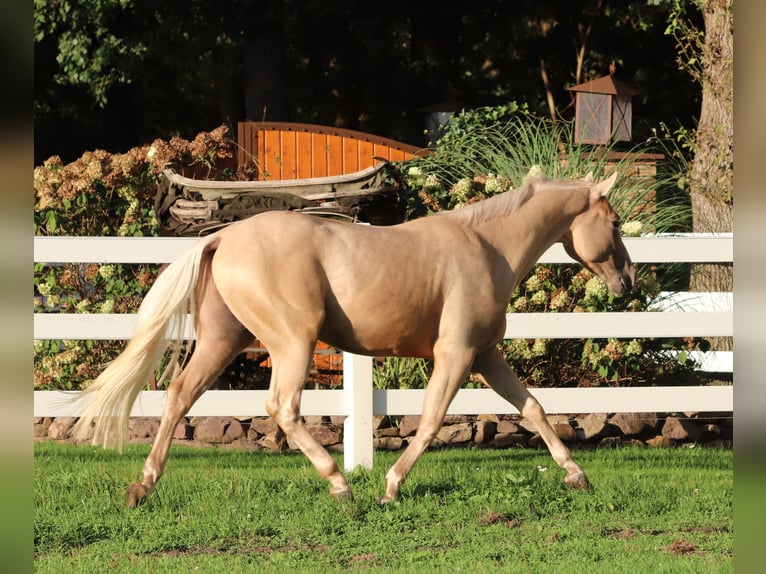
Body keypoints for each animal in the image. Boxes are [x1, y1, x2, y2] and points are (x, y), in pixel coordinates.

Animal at [72, 171, 636, 508]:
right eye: (614, 221)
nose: (628, 282)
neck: (486, 247)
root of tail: (224, 237)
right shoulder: (455, 355)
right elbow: (431, 420)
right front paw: (390, 487)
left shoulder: (485, 356)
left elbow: (534, 408)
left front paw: (576, 476)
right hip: (293, 342)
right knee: (281, 406)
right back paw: (339, 483)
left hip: (222, 341)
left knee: (179, 396)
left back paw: (142, 487)